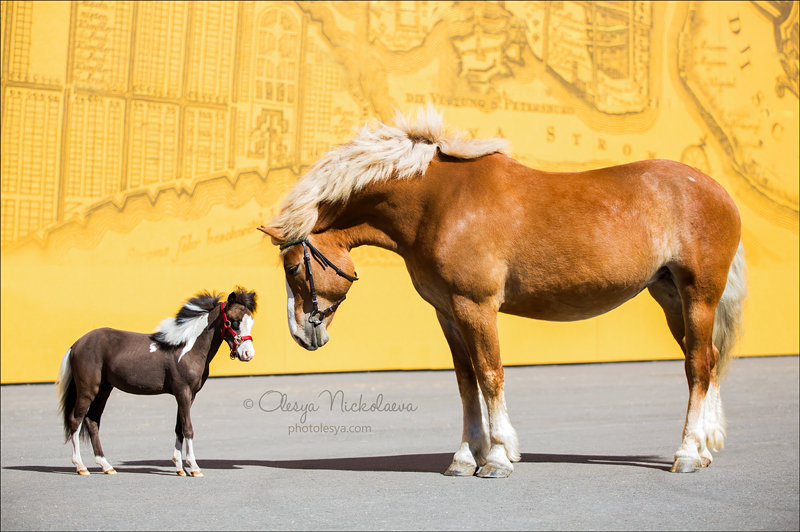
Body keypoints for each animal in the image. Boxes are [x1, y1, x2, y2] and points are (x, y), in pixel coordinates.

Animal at [56, 288, 256, 476]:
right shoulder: (183, 392)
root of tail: (77, 344)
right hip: (88, 389)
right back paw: (81, 466)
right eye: (234, 321)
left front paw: (180, 468)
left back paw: (106, 466)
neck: (187, 348)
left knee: (92, 421)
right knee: (76, 420)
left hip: (104, 389)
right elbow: (188, 428)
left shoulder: (189, 395)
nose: (248, 354)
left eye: (251, 322)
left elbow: (179, 427)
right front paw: (194, 467)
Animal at [260, 107, 748, 478]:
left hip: (699, 296)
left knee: (697, 367)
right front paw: (464, 457)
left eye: (293, 266)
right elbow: (465, 380)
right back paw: (703, 449)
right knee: (707, 360)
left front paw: (496, 457)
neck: (440, 204)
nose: (302, 334)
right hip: (671, 298)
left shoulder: (476, 307)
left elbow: (490, 374)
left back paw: (687, 453)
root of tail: (717, 190)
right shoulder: (448, 312)